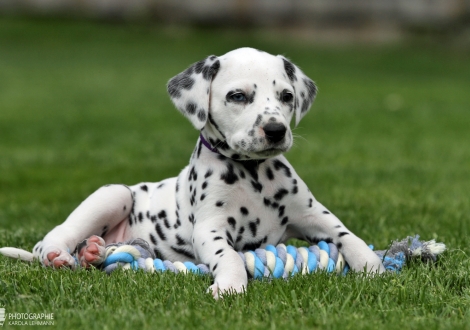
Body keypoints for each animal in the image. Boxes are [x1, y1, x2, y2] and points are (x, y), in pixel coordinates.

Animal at [0, 47, 386, 298]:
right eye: (238, 96)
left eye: (287, 96)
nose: (276, 130)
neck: (253, 175)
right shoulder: (210, 230)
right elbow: (229, 256)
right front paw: (230, 286)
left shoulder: (312, 215)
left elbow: (348, 236)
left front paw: (376, 269)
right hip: (114, 194)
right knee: (52, 238)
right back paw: (60, 256)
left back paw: (93, 252)